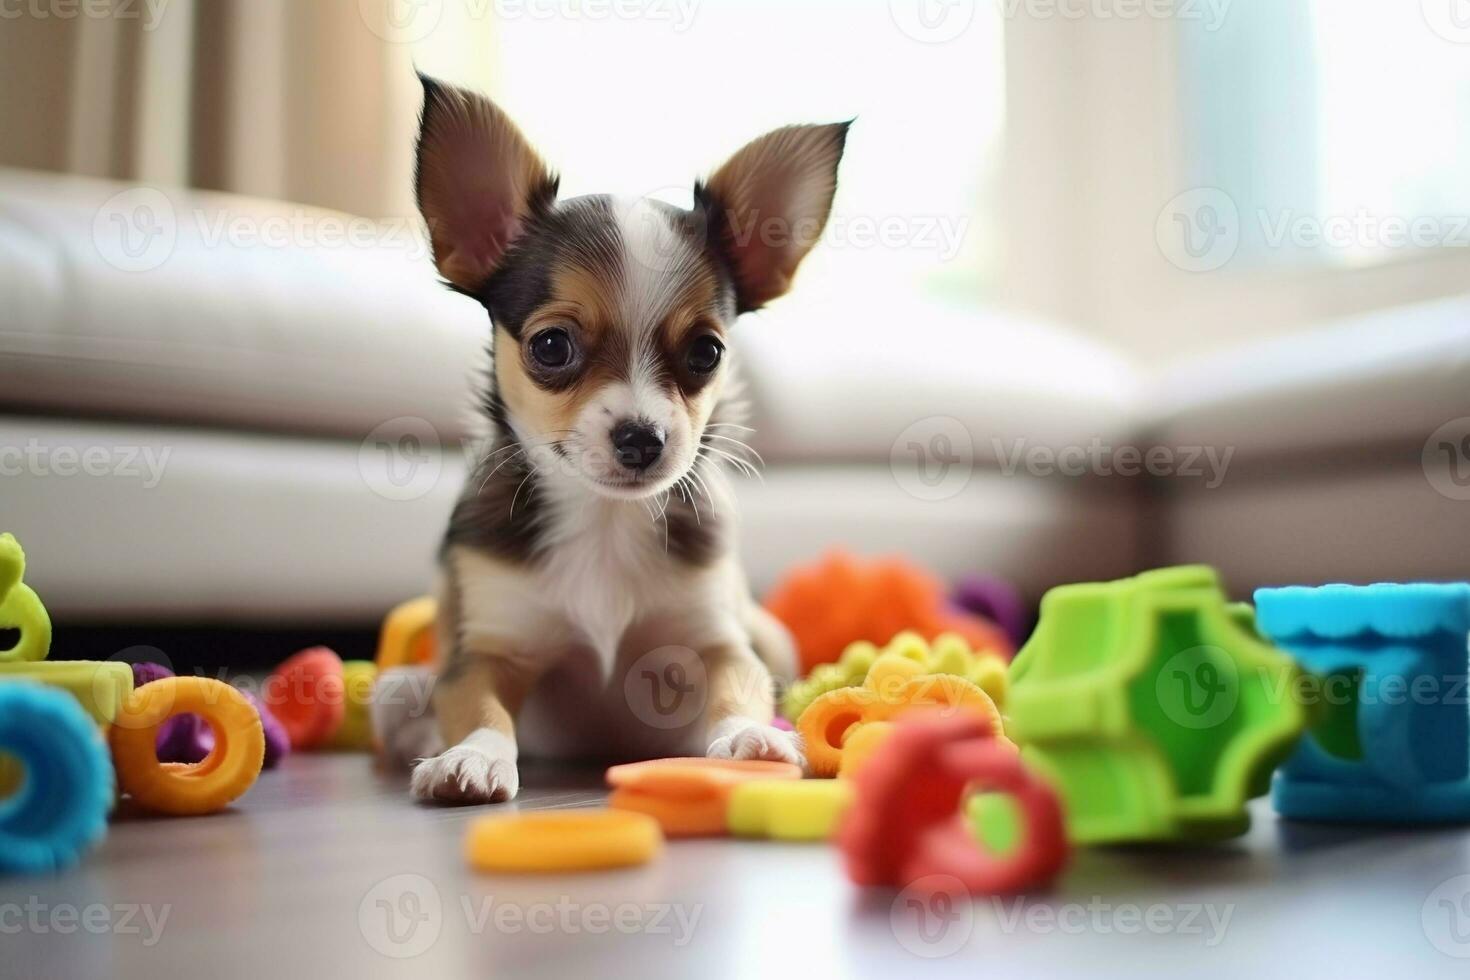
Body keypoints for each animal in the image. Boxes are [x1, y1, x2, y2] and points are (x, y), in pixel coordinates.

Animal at [396, 72, 846, 799]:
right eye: (551, 346)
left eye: (706, 354)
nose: (642, 438)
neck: (607, 522)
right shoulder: (487, 648)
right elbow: (481, 708)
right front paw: (472, 757)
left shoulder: (716, 639)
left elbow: (735, 686)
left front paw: (747, 739)